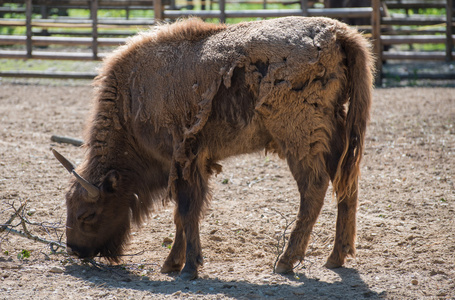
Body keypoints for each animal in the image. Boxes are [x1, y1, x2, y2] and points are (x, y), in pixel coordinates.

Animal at [53, 15, 374, 278]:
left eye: (87, 215)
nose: (75, 250)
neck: (131, 98)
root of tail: (338, 33)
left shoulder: (181, 161)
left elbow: (186, 211)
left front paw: (188, 267)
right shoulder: (192, 164)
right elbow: (183, 214)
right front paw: (173, 264)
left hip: (298, 138)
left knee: (314, 188)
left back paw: (285, 262)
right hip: (335, 134)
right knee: (347, 183)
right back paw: (336, 258)